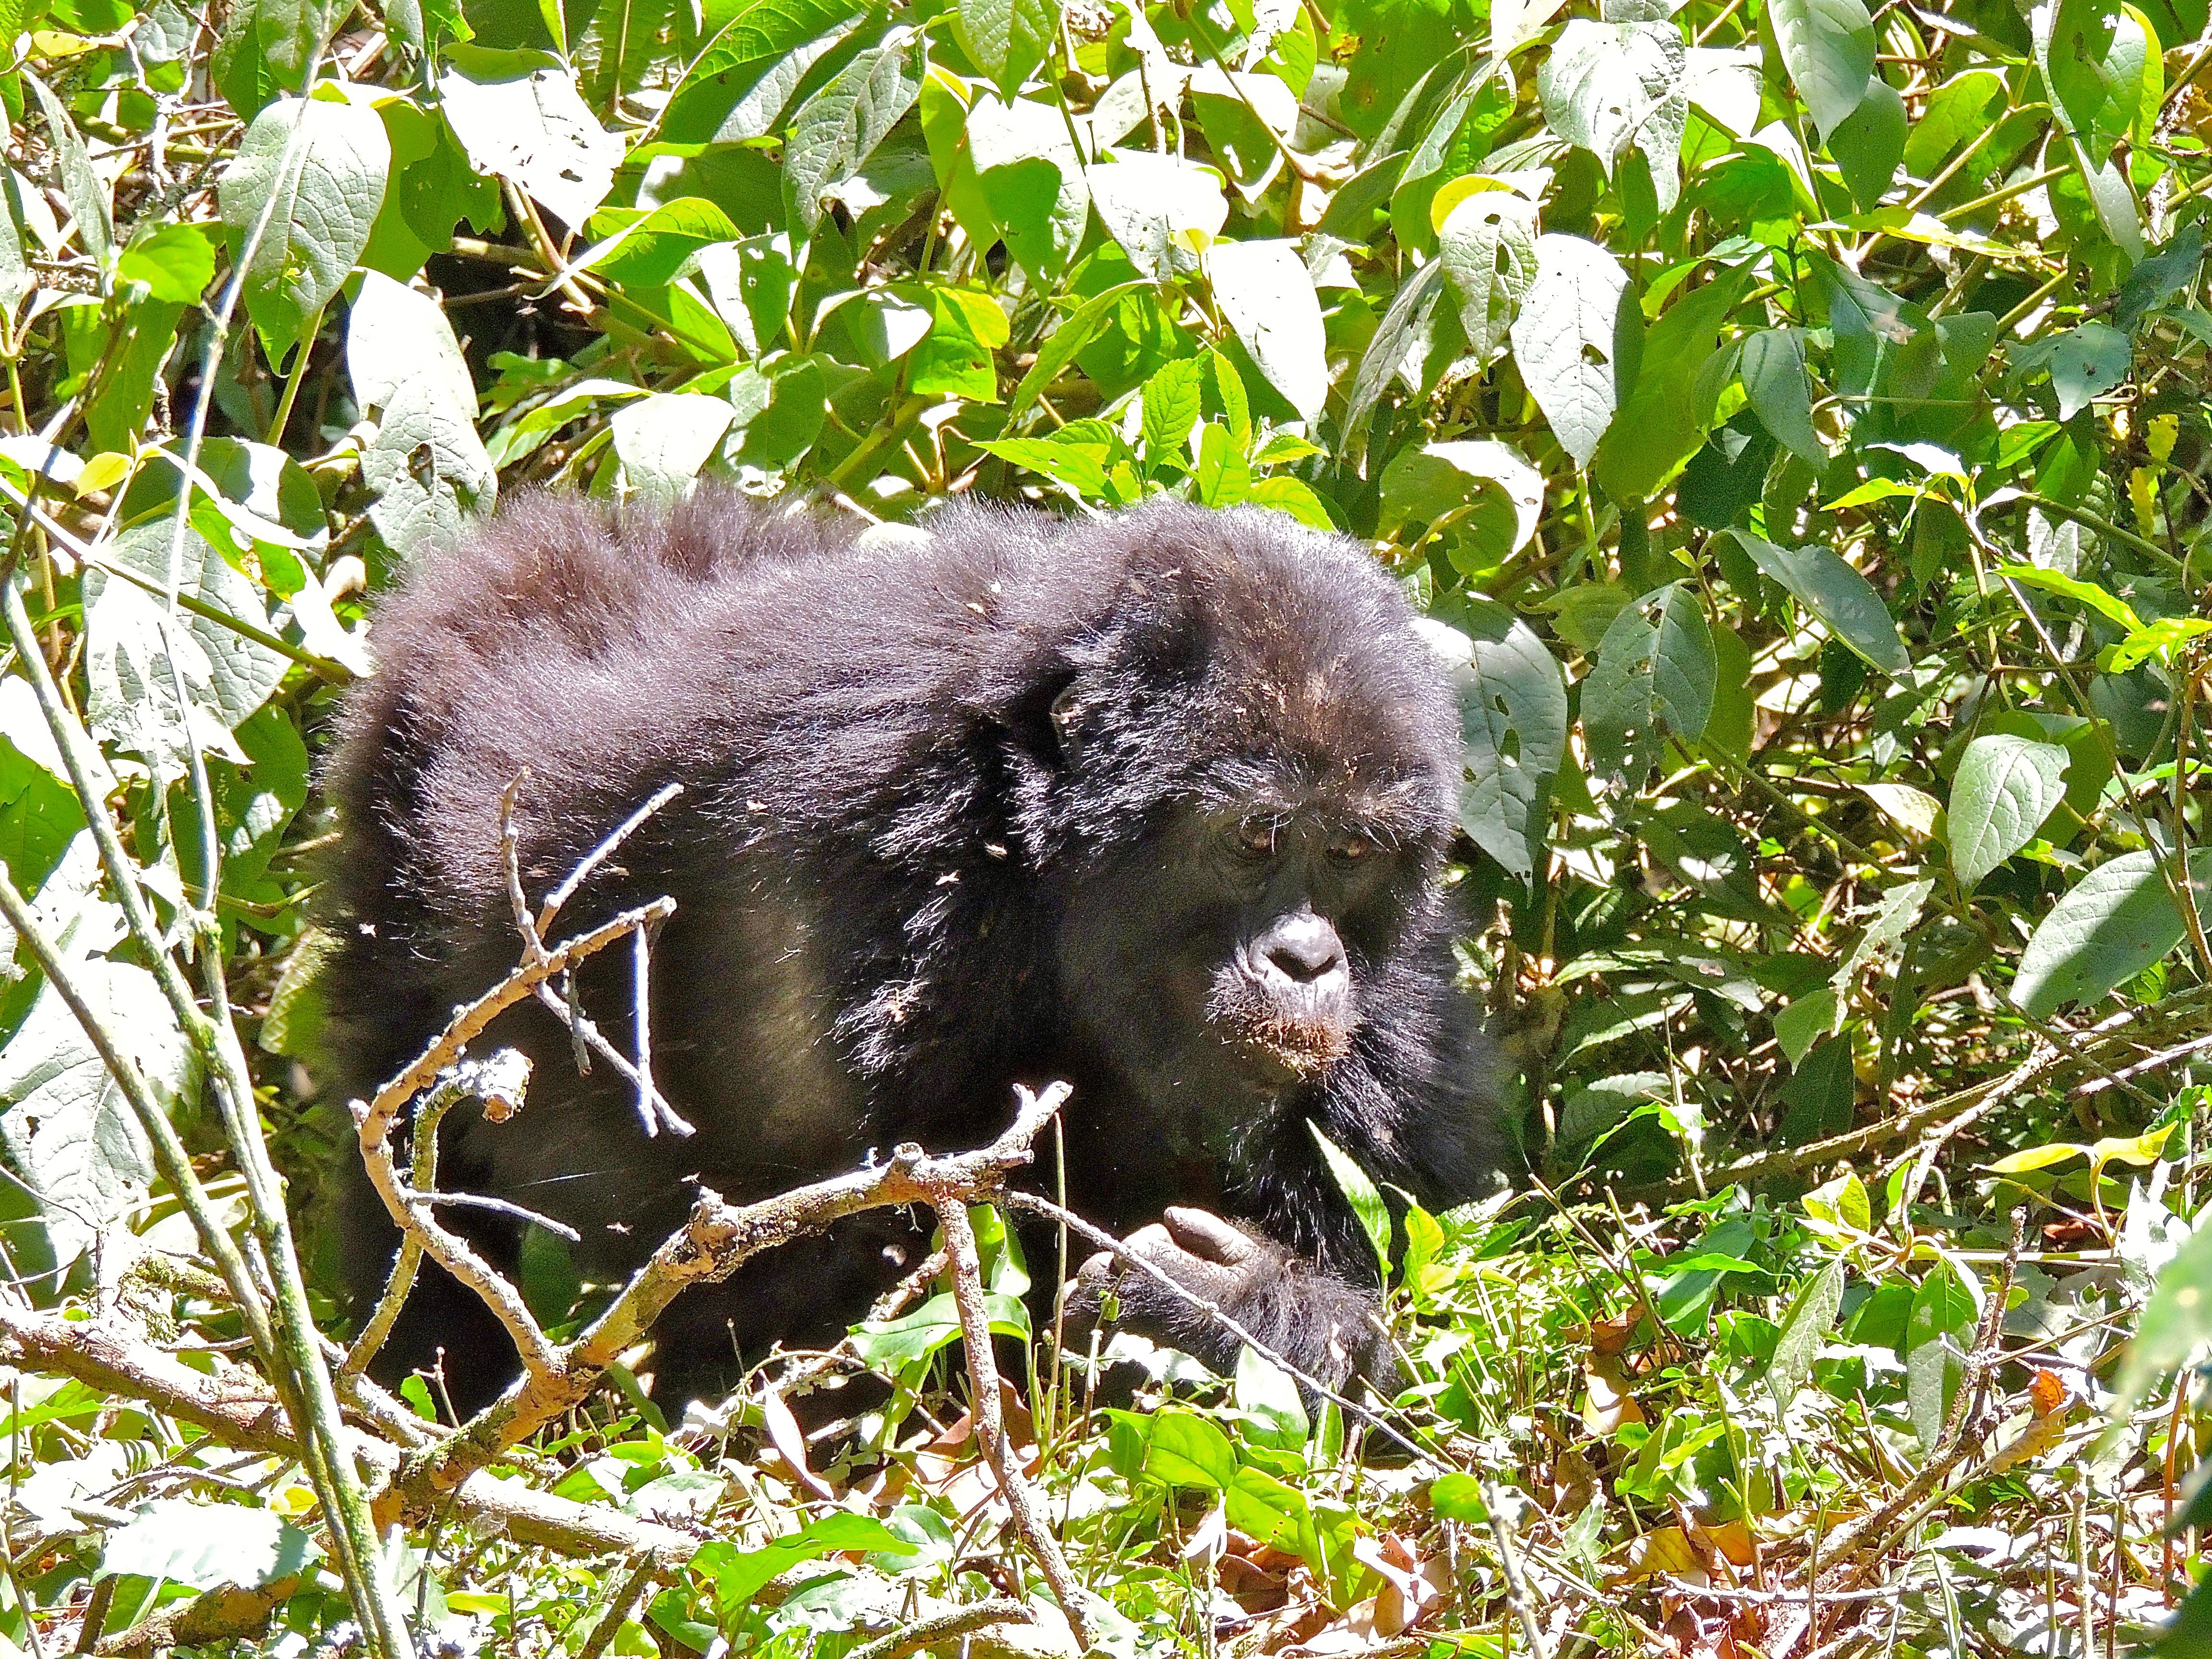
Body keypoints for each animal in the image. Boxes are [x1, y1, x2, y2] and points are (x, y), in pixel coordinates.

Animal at [321, 493, 1513, 1416]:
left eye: (1350, 853)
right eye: (1257, 837)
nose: (1308, 961)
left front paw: (1245, 1312)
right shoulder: (880, 882)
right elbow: (811, 1304)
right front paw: (1225, 1312)